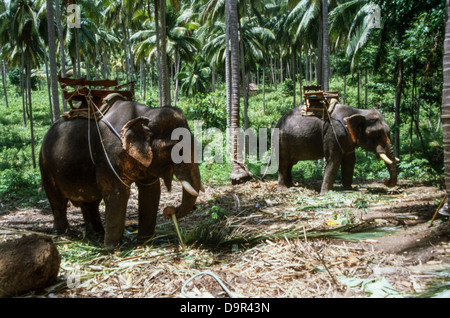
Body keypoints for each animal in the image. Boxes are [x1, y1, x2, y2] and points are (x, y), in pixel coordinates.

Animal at [38, 100, 200, 248]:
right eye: (178, 151)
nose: (169, 210)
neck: (145, 114)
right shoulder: (108, 155)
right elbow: (117, 192)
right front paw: (112, 248)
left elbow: (151, 191)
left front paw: (146, 242)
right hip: (45, 165)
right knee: (57, 199)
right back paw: (63, 234)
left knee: (90, 201)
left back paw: (96, 235)